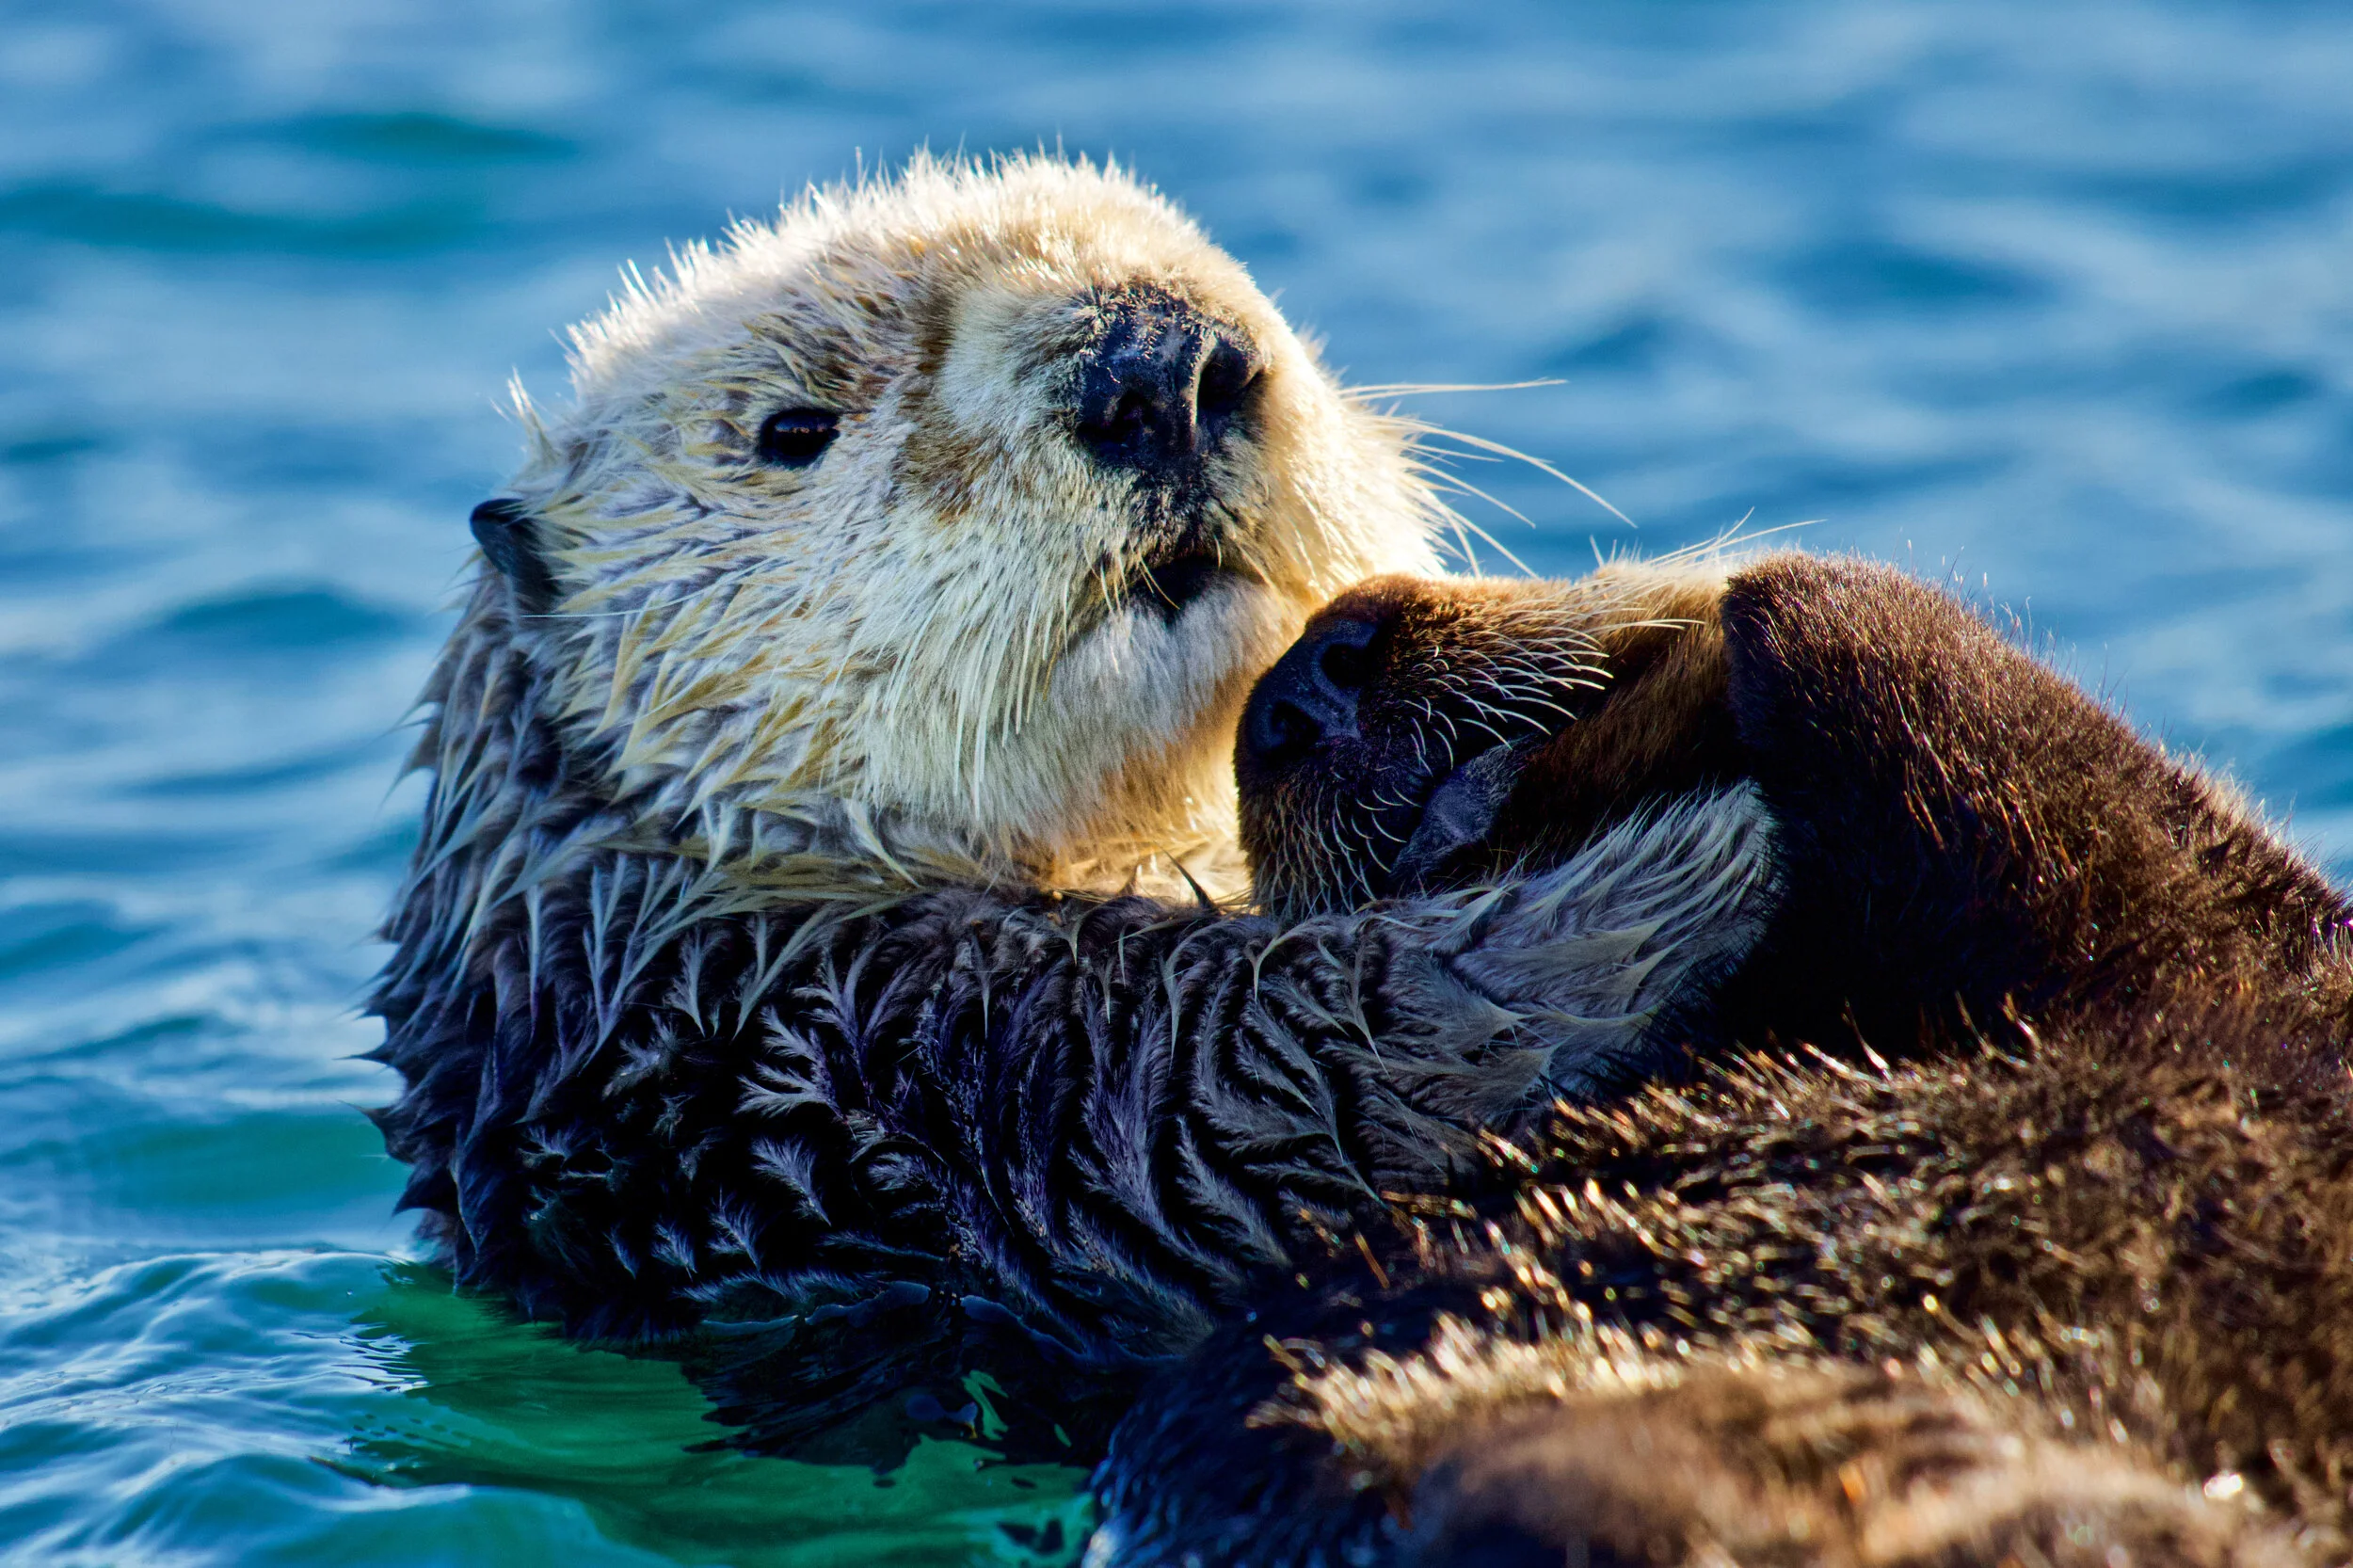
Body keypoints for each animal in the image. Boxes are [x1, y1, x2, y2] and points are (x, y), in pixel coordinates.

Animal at [368, 156, 1776, 1455]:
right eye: (793, 427)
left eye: (1219, 273)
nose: (1156, 370)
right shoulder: (862, 1079)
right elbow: (1263, 1089)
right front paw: (1697, 844)